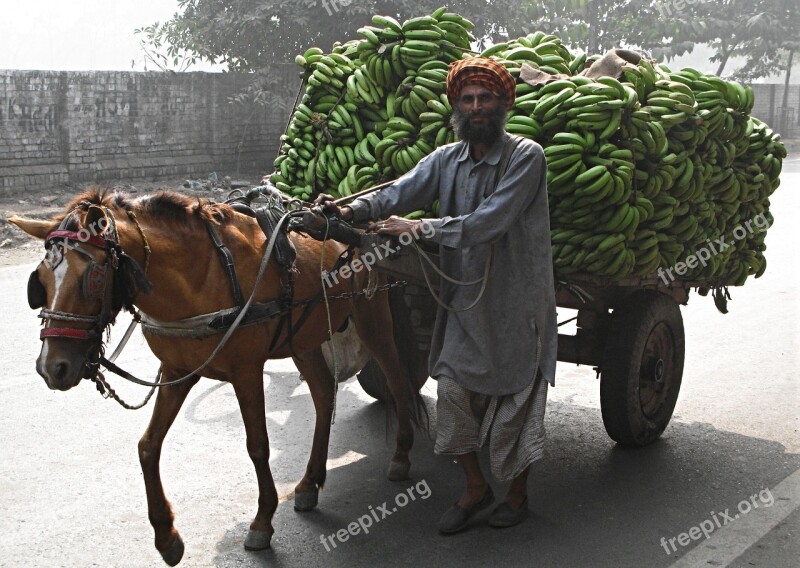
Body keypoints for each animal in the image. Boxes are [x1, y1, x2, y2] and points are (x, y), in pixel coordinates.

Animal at [9, 189, 428, 564]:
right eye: (40, 280)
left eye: (93, 278)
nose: (52, 367)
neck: (199, 274)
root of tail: (360, 225)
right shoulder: (179, 371)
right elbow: (148, 446)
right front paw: (167, 536)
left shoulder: (247, 370)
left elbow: (258, 445)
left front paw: (262, 522)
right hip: (303, 337)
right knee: (325, 394)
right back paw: (310, 482)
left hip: (372, 317)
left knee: (397, 381)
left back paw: (401, 454)